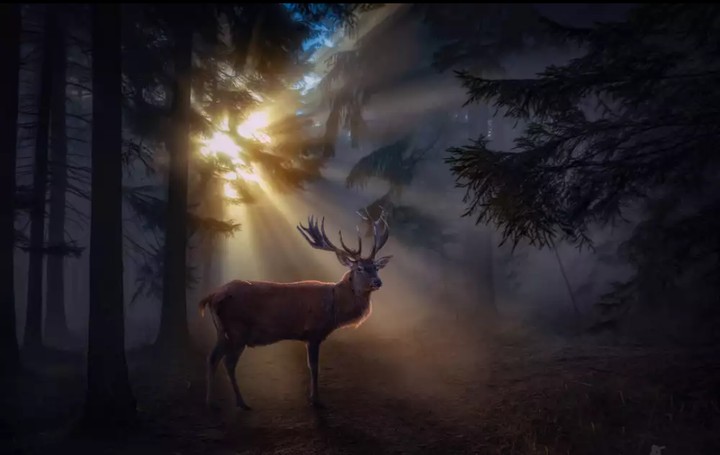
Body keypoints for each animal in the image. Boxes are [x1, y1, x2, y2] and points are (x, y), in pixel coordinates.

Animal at [199, 210, 392, 410]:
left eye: (376, 267)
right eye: (360, 268)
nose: (378, 282)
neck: (334, 306)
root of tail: (212, 296)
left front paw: (311, 397)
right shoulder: (313, 332)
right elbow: (314, 367)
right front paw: (316, 400)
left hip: (222, 331)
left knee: (212, 358)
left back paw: (210, 402)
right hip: (238, 330)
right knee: (228, 362)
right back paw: (241, 402)